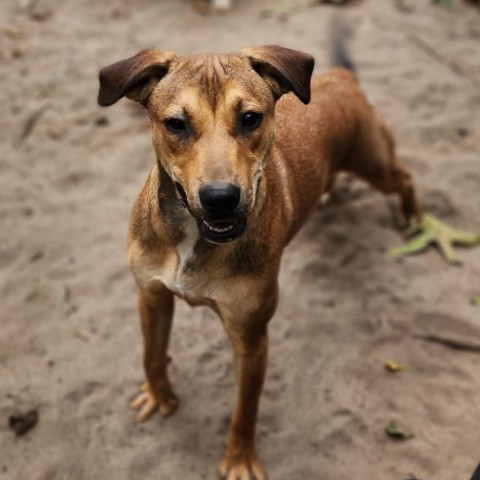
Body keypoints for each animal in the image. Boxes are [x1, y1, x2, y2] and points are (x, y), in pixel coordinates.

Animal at [96, 46, 420, 480]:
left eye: (250, 118)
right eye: (176, 124)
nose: (220, 198)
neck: (194, 237)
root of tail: (339, 77)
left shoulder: (251, 339)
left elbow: (244, 411)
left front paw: (239, 459)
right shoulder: (152, 296)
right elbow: (152, 354)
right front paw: (158, 395)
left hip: (374, 163)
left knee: (405, 176)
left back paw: (415, 217)